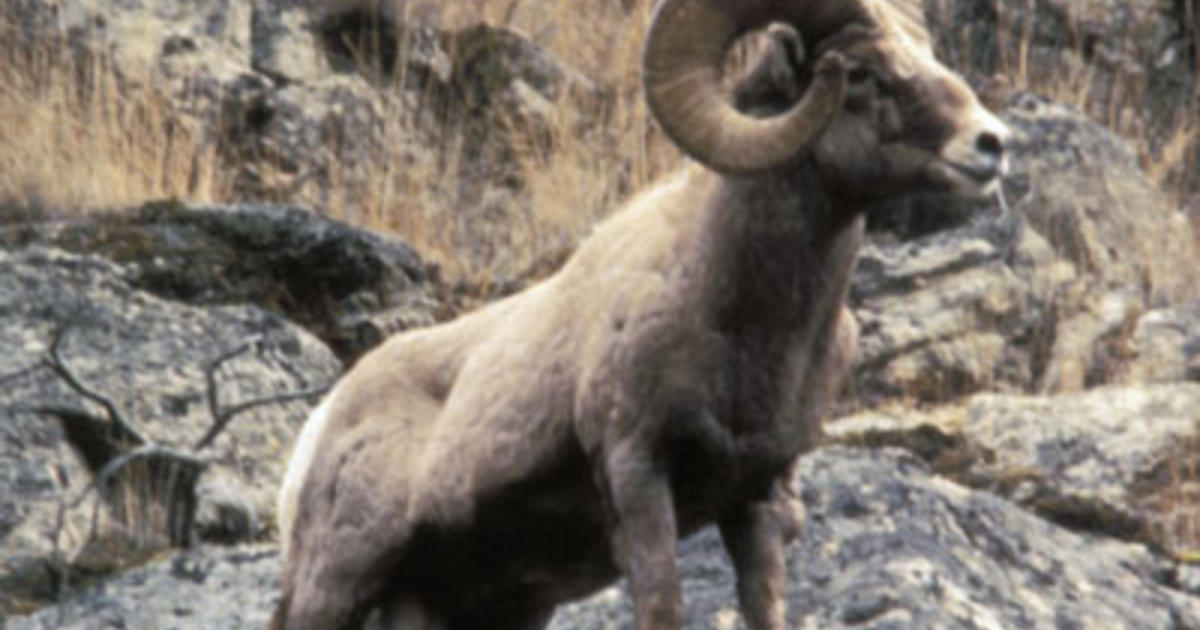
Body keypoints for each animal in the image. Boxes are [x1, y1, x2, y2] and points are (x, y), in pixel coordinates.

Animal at [272, 1, 1009, 629]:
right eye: (858, 72)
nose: (991, 143)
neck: (741, 322)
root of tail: (323, 423)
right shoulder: (639, 474)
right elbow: (662, 605)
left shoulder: (761, 501)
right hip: (336, 582)